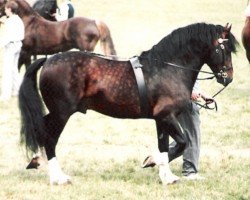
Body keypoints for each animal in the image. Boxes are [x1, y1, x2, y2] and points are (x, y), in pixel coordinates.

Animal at [18, 22, 238, 185]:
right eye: (224, 48)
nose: (228, 78)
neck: (168, 68)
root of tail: (48, 60)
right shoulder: (167, 117)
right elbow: (182, 143)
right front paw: (153, 162)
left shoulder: (161, 120)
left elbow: (164, 146)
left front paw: (166, 176)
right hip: (62, 113)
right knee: (49, 139)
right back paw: (58, 177)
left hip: (57, 112)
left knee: (41, 129)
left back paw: (36, 161)